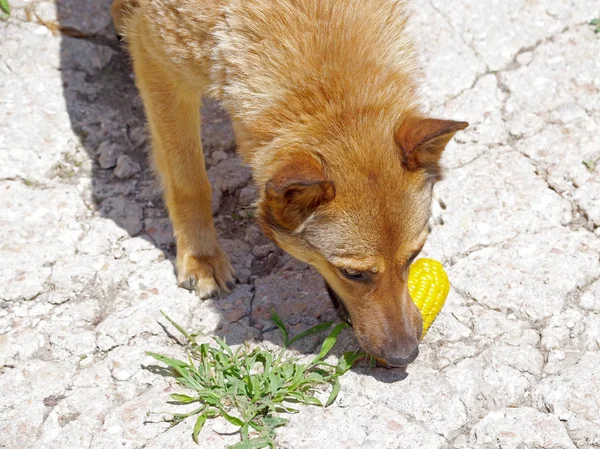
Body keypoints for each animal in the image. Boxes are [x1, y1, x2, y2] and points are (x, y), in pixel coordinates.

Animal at [113, 0, 468, 368]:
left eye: (415, 255)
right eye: (352, 273)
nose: (405, 356)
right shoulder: (161, 69)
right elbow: (189, 182)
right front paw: (201, 256)